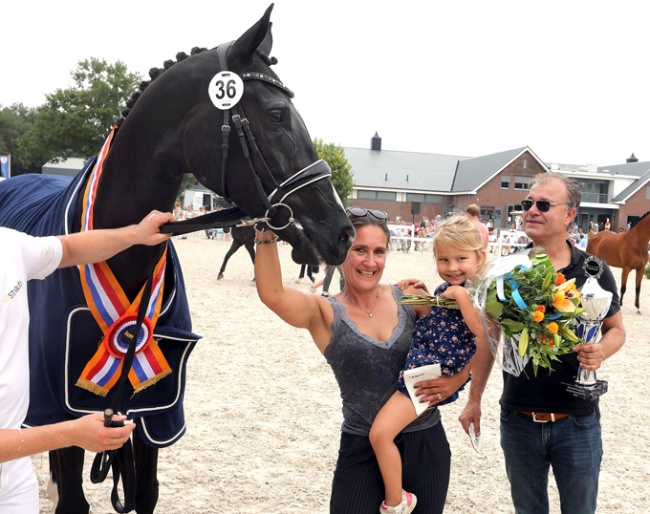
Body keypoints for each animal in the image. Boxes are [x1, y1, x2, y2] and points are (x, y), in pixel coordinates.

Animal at [0, 5, 352, 512]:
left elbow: (145, 491)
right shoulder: (57, 408)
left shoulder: (153, 410)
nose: (342, 231)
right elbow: (72, 496)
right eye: (277, 115)